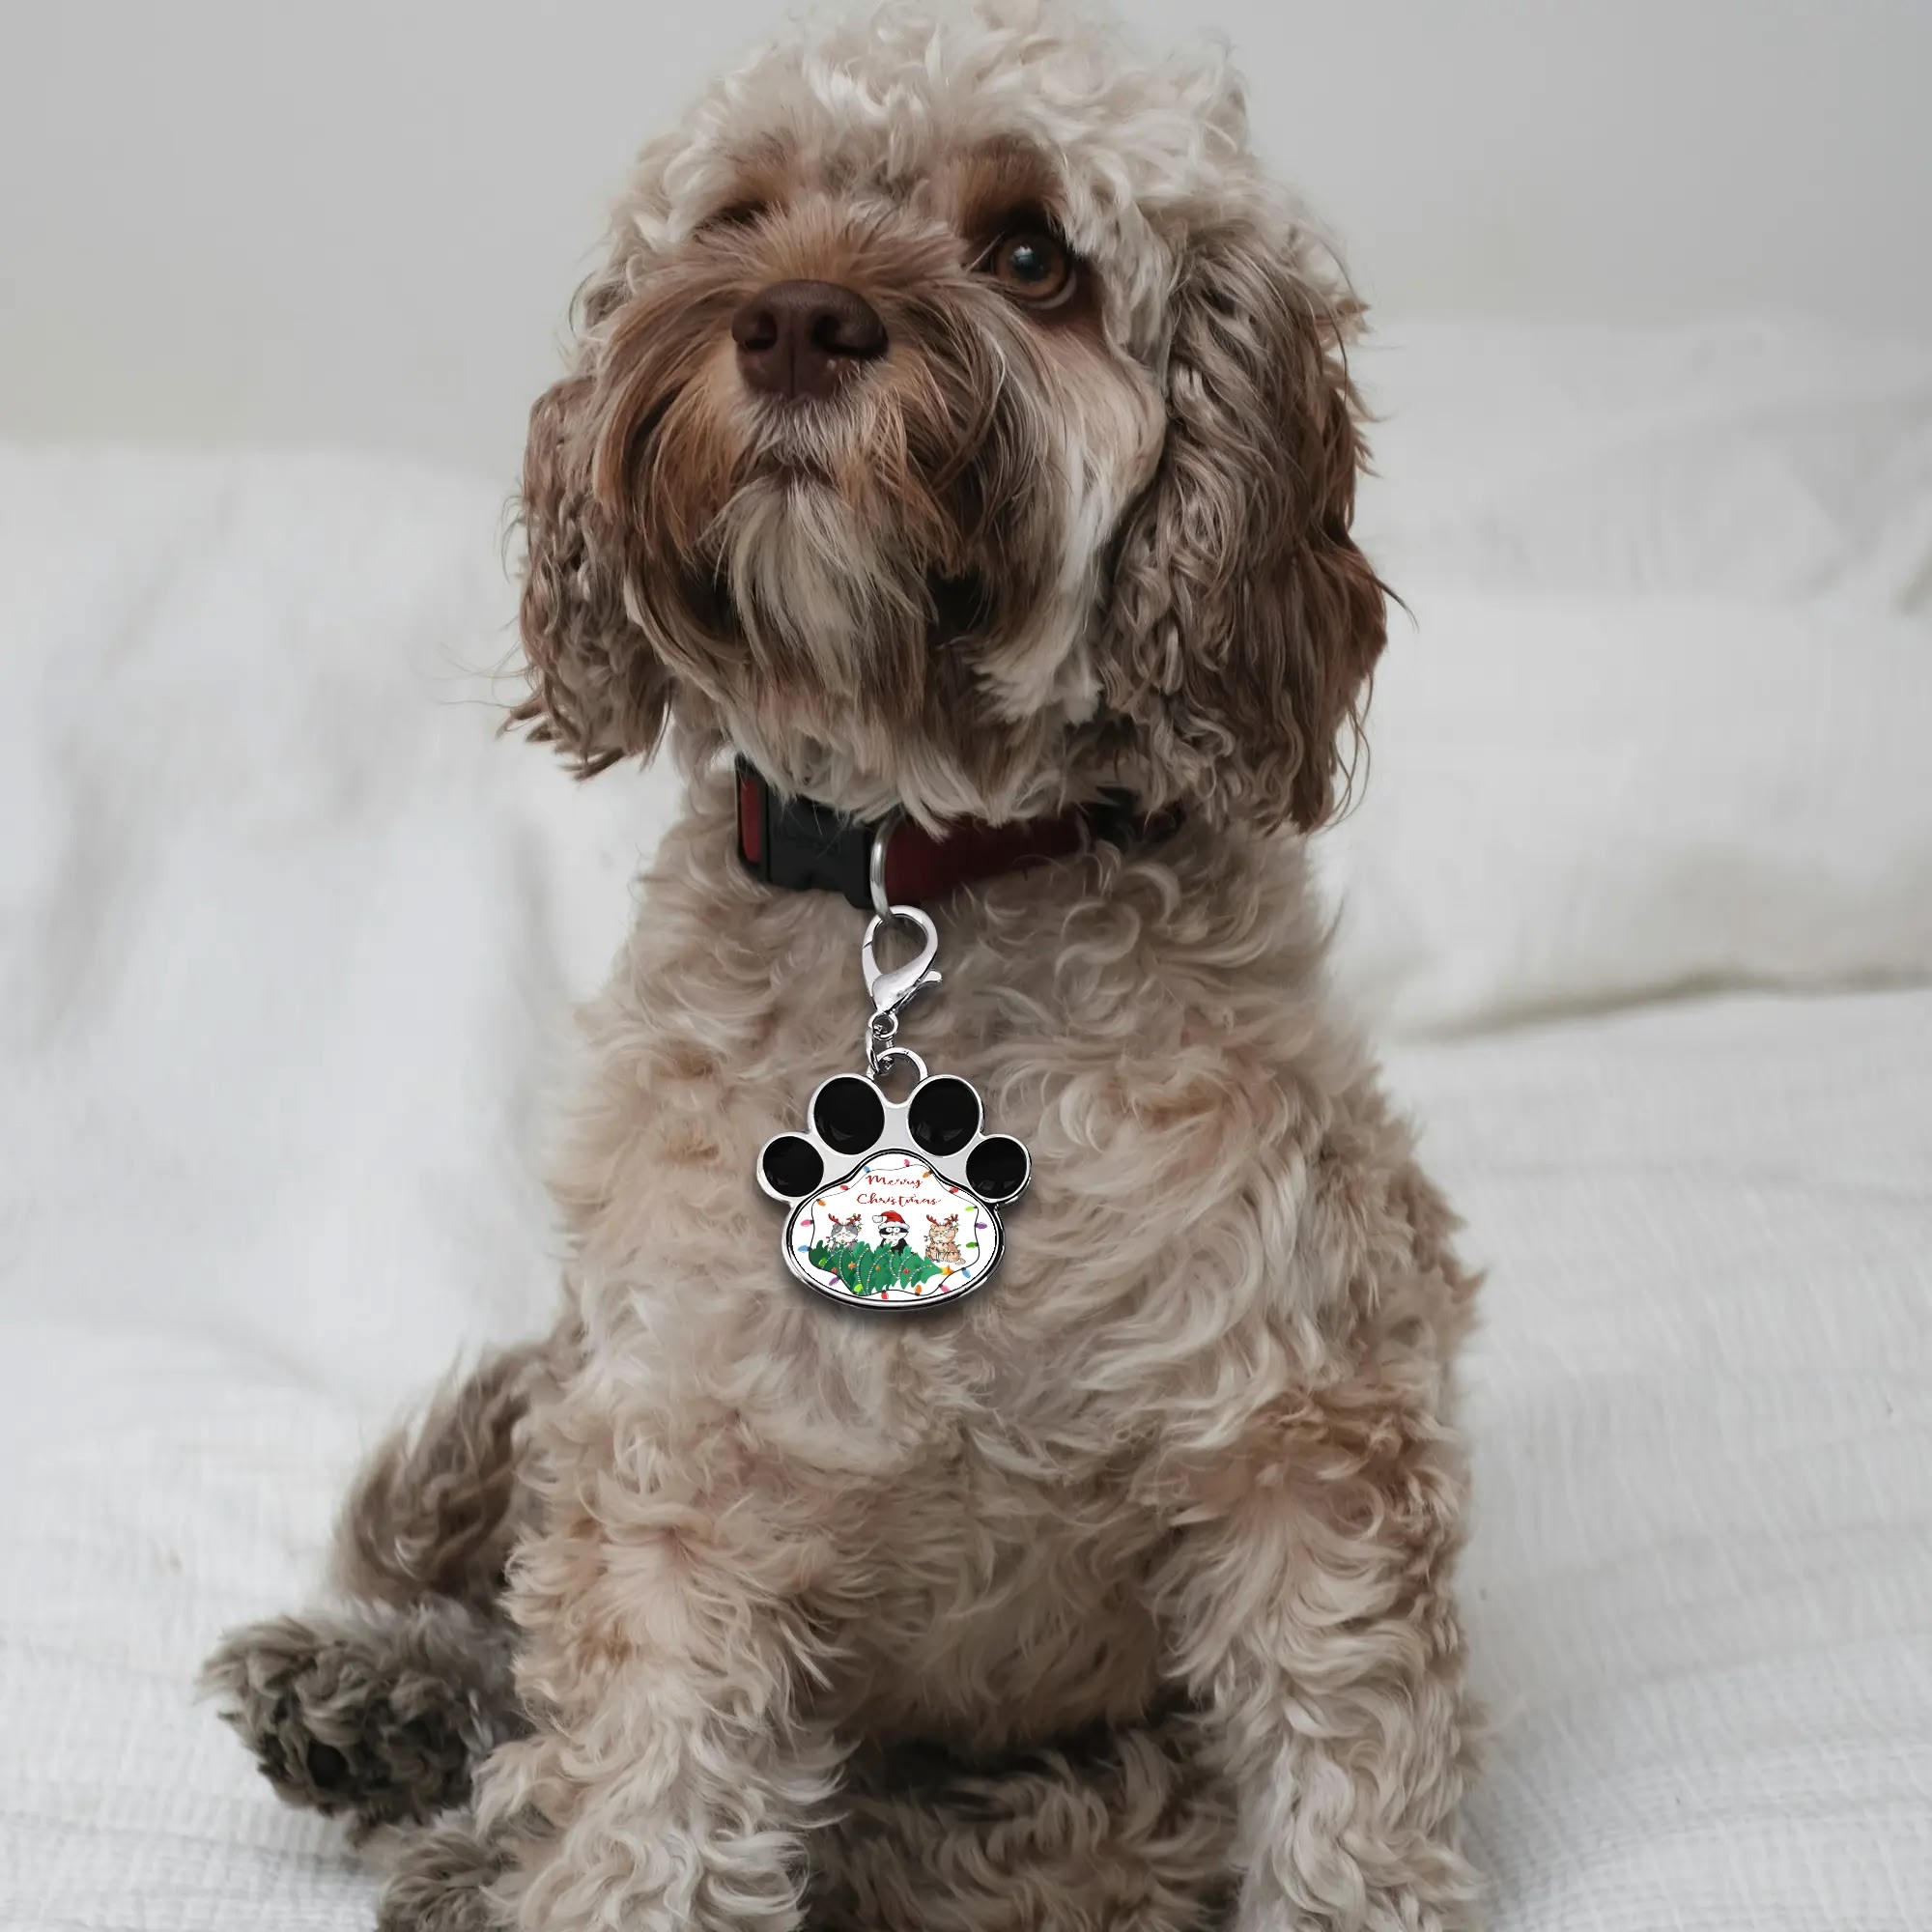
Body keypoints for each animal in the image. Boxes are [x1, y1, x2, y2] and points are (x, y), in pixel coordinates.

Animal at [202, 3, 1482, 1928]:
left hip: (1098, 1797)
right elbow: (643, 1786)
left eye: (1030, 255)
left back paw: (450, 1831)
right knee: (519, 1670)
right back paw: (375, 1705)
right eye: (740, 216)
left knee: (933, 1842)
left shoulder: (1301, 1436)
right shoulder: (672, 1466)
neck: (913, 869)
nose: (797, 318)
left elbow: (1344, 1772)